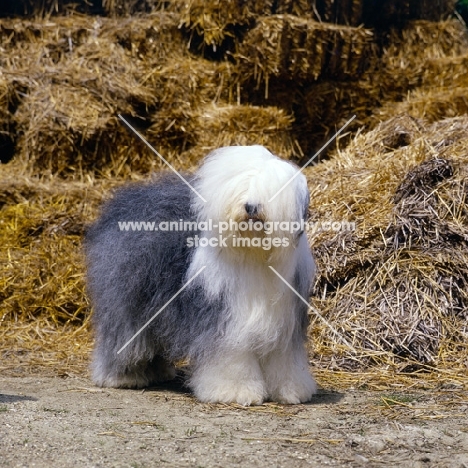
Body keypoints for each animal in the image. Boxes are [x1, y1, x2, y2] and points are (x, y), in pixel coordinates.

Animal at [84, 146, 318, 406]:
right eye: (241, 187)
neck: (253, 254)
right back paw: (122, 377)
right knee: (123, 338)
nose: (250, 207)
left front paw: (291, 390)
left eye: (268, 191)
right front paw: (235, 391)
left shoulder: (284, 320)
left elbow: (284, 358)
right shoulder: (222, 320)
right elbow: (231, 356)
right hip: (127, 303)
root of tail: (127, 200)